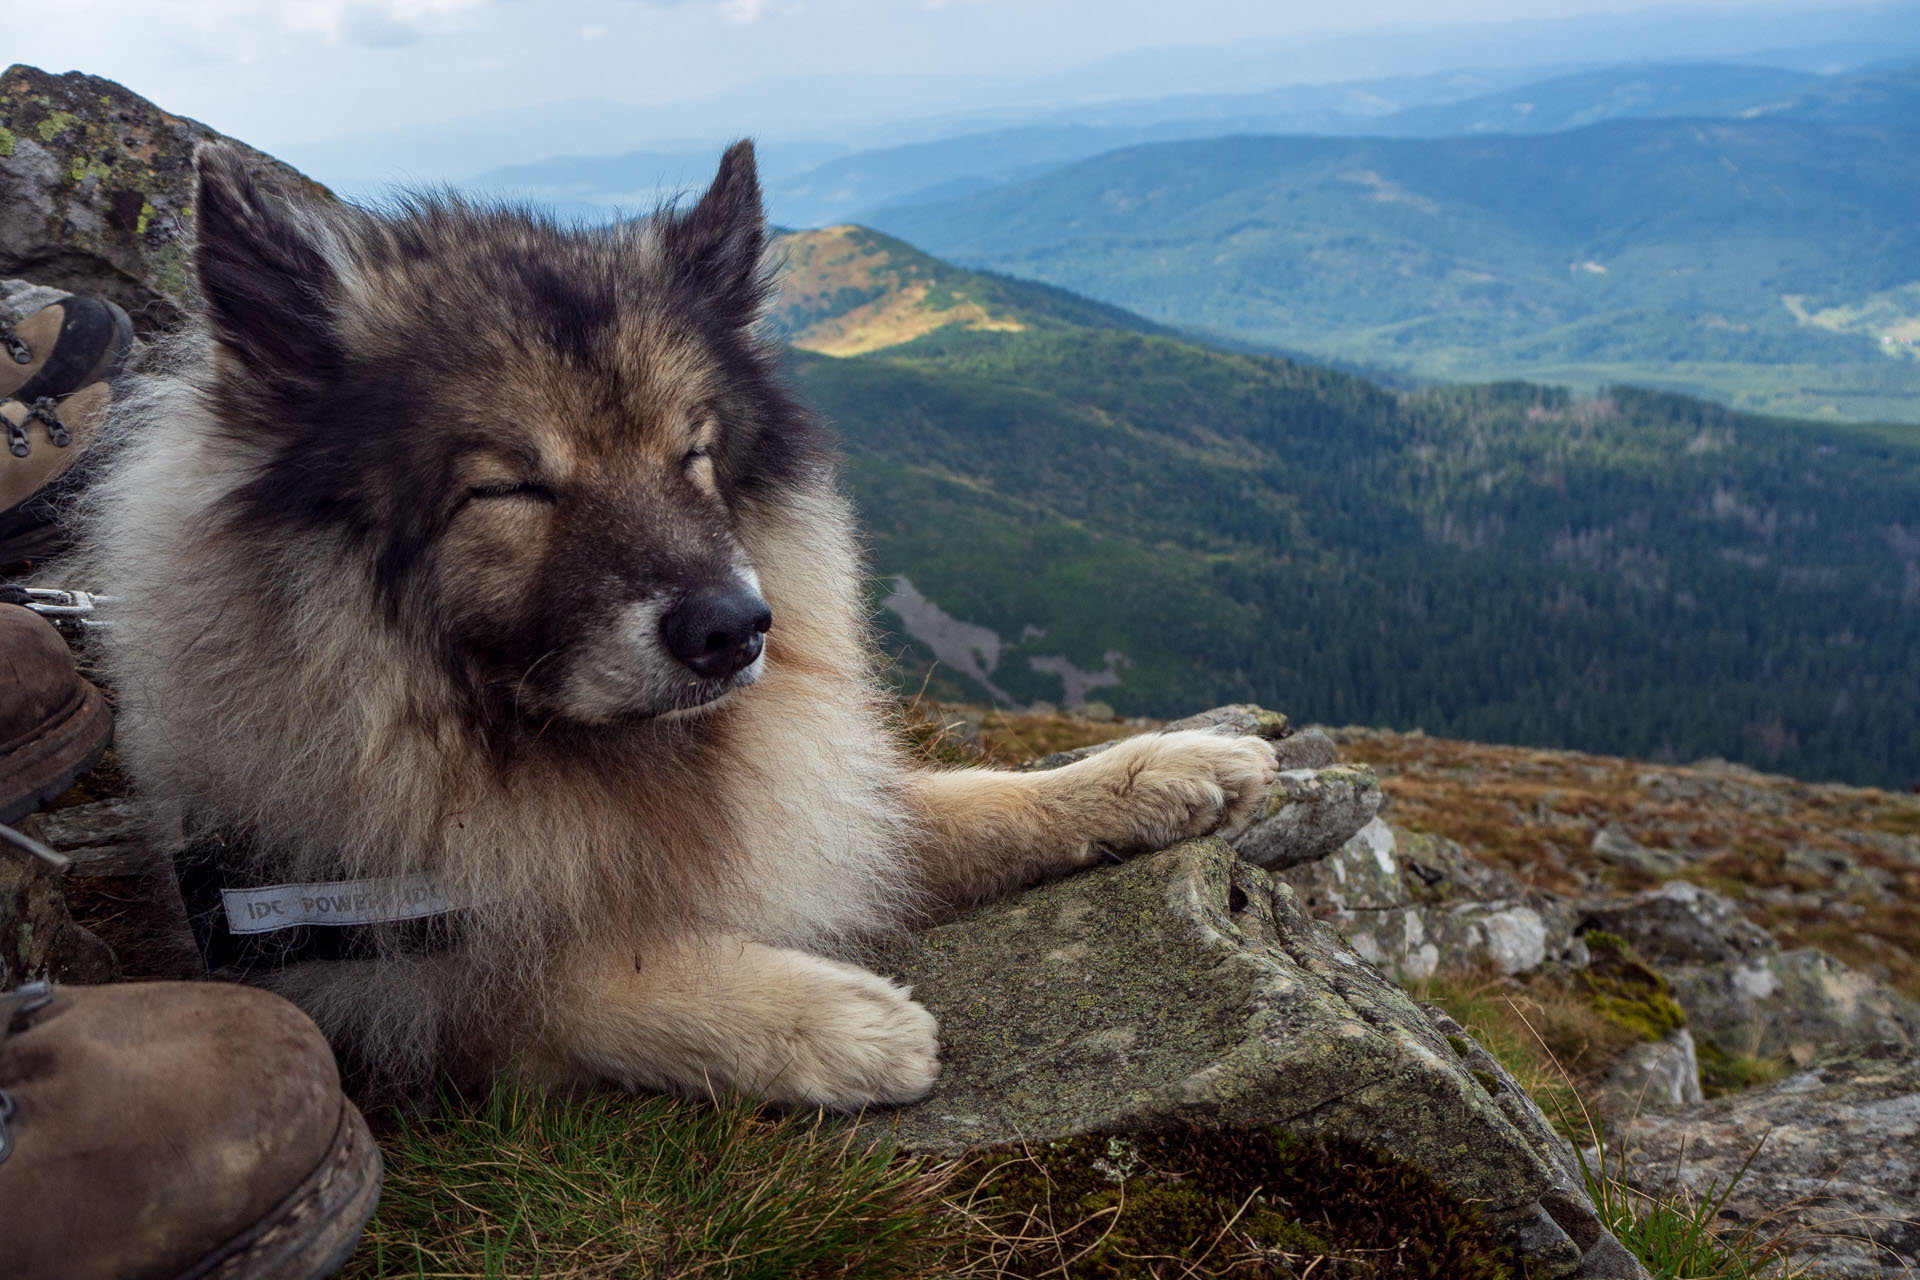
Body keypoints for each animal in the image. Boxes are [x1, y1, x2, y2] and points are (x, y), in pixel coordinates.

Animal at [74, 142, 1282, 1113]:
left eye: (691, 453)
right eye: (511, 487)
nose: (738, 628)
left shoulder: (807, 813)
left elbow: (963, 803)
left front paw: (1159, 769)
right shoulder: (327, 974)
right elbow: (551, 977)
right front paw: (822, 1018)